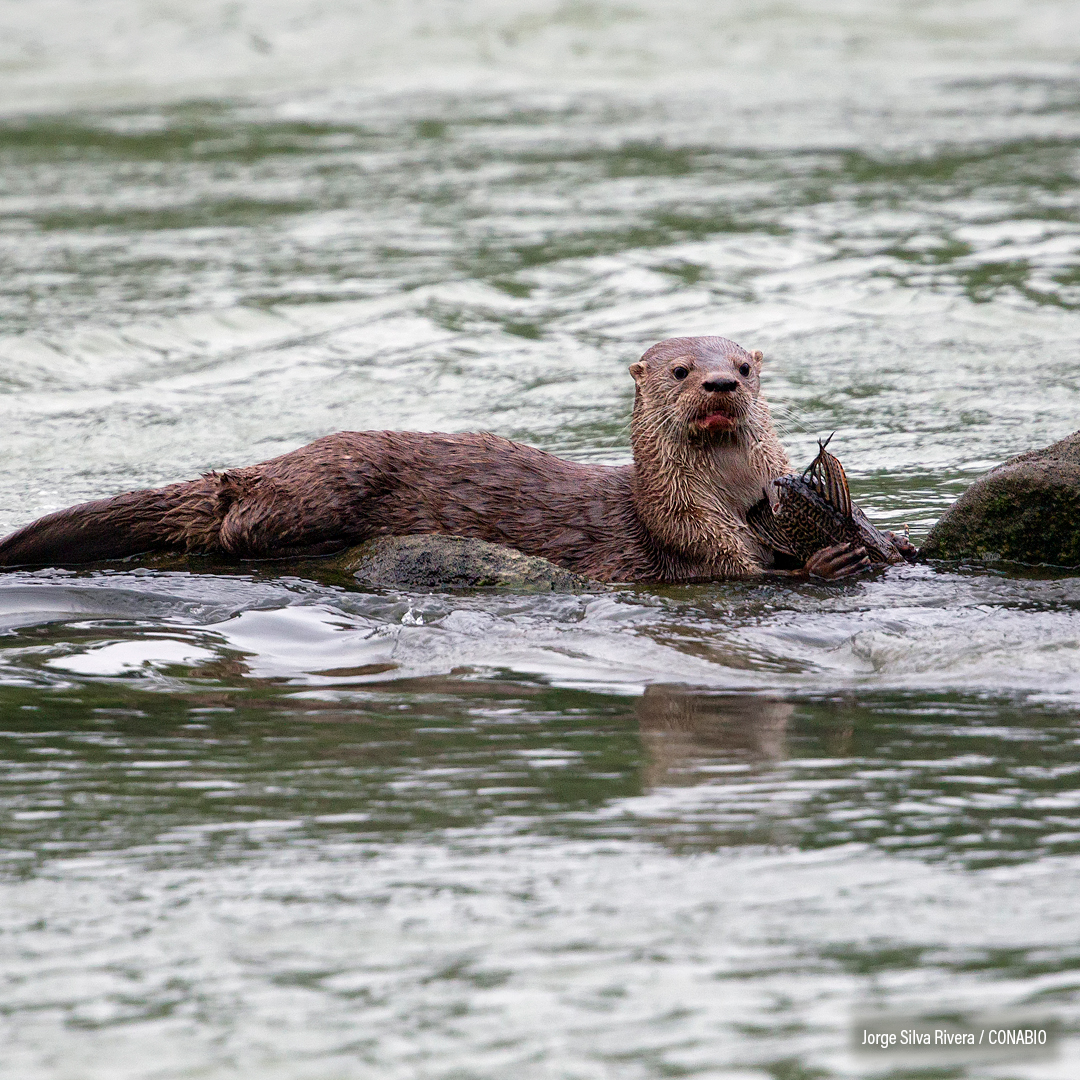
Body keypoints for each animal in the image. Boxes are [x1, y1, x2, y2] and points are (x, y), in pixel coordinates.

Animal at [0, 336, 868, 583]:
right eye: (683, 369)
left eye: (744, 366)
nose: (721, 382)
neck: (728, 495)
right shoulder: (684, 535)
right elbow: (745, 573)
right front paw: (823, 561)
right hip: (322, 479)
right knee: (241, 523)